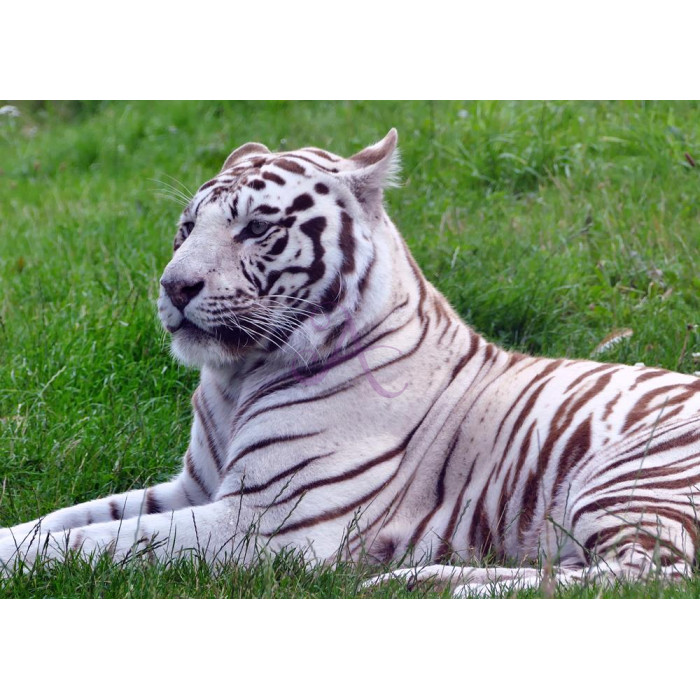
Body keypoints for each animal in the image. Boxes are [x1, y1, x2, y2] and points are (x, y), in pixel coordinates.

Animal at [2, 129, 700, 597]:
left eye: (257, 228)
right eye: (186, 227)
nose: (174, 287)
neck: (235, 378)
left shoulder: (263, 521)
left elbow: (100, 541)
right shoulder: (193, 488)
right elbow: (63, 521)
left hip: (629, 479)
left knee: (644, 575)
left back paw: (427, 582)